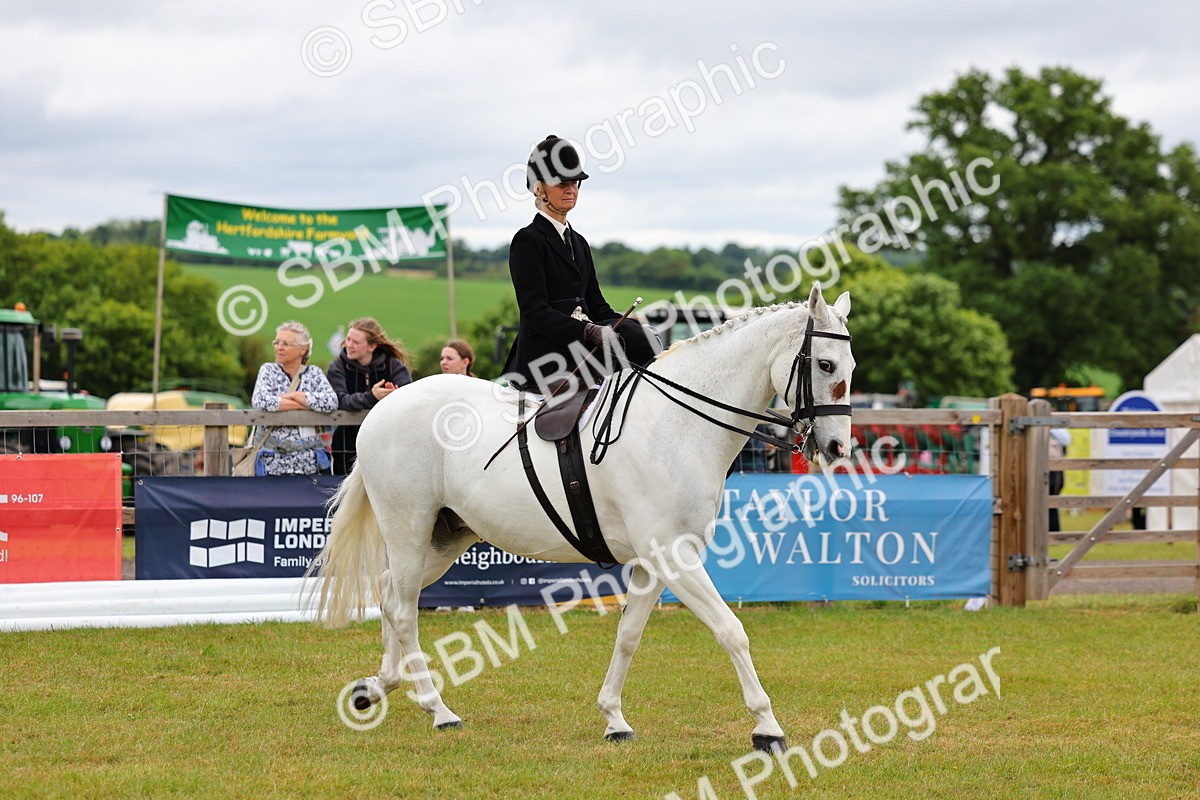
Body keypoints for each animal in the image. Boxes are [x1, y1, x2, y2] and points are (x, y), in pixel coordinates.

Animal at [308, 283, 854, 752]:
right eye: (826, 364)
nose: (836, 449)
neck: (678, 426)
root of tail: (384, 408)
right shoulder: (674, 556)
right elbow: (731, 630)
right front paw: (768, 729)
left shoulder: (655, 561)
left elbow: (629, 636)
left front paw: (614, 719)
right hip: (409, 526)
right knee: (402, 607)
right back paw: (438, 709)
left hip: (446, 535)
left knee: (390, 593)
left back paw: (378, 687)